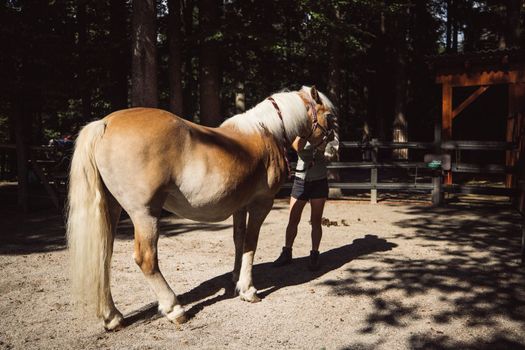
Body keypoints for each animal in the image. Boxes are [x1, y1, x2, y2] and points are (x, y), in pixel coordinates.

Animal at [66, 84, 336, 328]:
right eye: (330, 116)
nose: (333, 151)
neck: (266, 132)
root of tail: (105, 123)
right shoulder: (261, 203)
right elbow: (251, 243)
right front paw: (248, 289)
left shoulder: (241, 206)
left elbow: (239, 240)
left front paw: (236, 279)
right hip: (145, 213)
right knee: (146, 259)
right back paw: (174, 309)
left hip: (111, 209)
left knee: (103, 255)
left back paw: (112, 317)